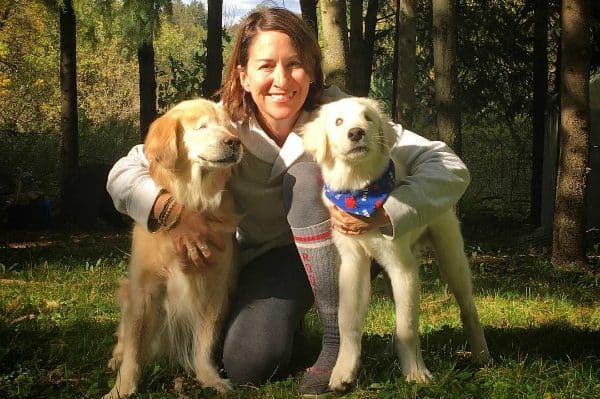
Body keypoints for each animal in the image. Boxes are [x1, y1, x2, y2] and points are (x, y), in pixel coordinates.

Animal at [302, 97, 490, 390]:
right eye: (338, 122)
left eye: (367, 118)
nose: (356, 133)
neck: (359, 192)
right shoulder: (353, 264)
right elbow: (349, 323)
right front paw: (343, 372)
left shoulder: (403, 267)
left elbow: (408, 325)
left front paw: (416, 372)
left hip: (450, 257)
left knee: (467, 307)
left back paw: (481, 353)